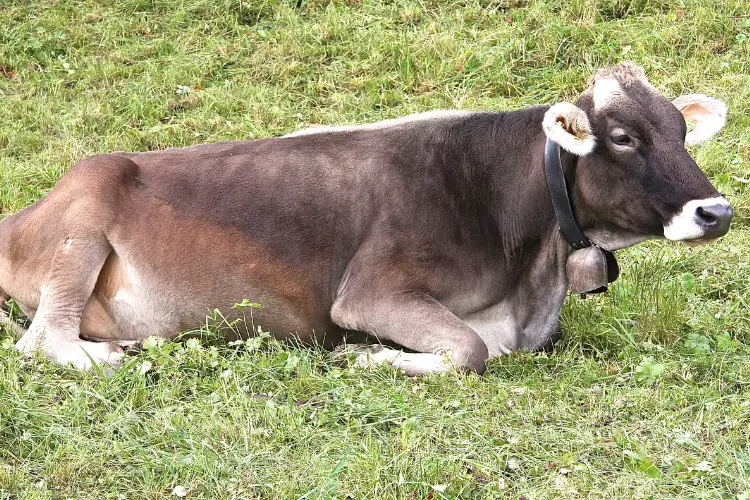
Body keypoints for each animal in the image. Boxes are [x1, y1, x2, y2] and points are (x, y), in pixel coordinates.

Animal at [0, 62, 736, 374]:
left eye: (681, 131)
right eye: (624, 138)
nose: (717, 210)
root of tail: (22, 212)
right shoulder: (368, 292)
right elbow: (468, 352)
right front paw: (372, 355)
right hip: (89, 208)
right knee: (42, 341)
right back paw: (110, 355)